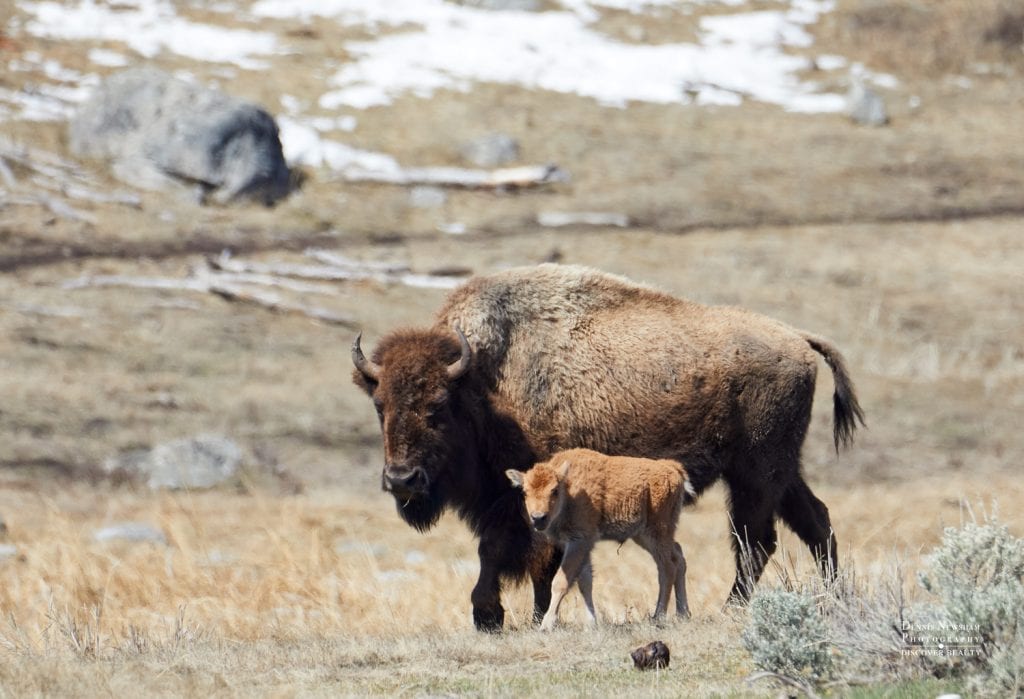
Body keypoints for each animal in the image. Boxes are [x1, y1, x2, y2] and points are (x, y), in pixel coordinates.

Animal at [506, 448, 695, 630]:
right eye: (525, 492)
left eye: (554, 490)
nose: (538, 518)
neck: (570, 490)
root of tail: (671, 468)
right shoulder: (582, 544)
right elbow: (585, 581)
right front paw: (592, 622)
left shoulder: (578, 541)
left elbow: (561, 581)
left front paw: (547, 625)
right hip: (644, 536)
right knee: (678, 557)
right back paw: (683, 614)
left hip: (657, 532)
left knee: (667, 567)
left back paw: (659, 616)